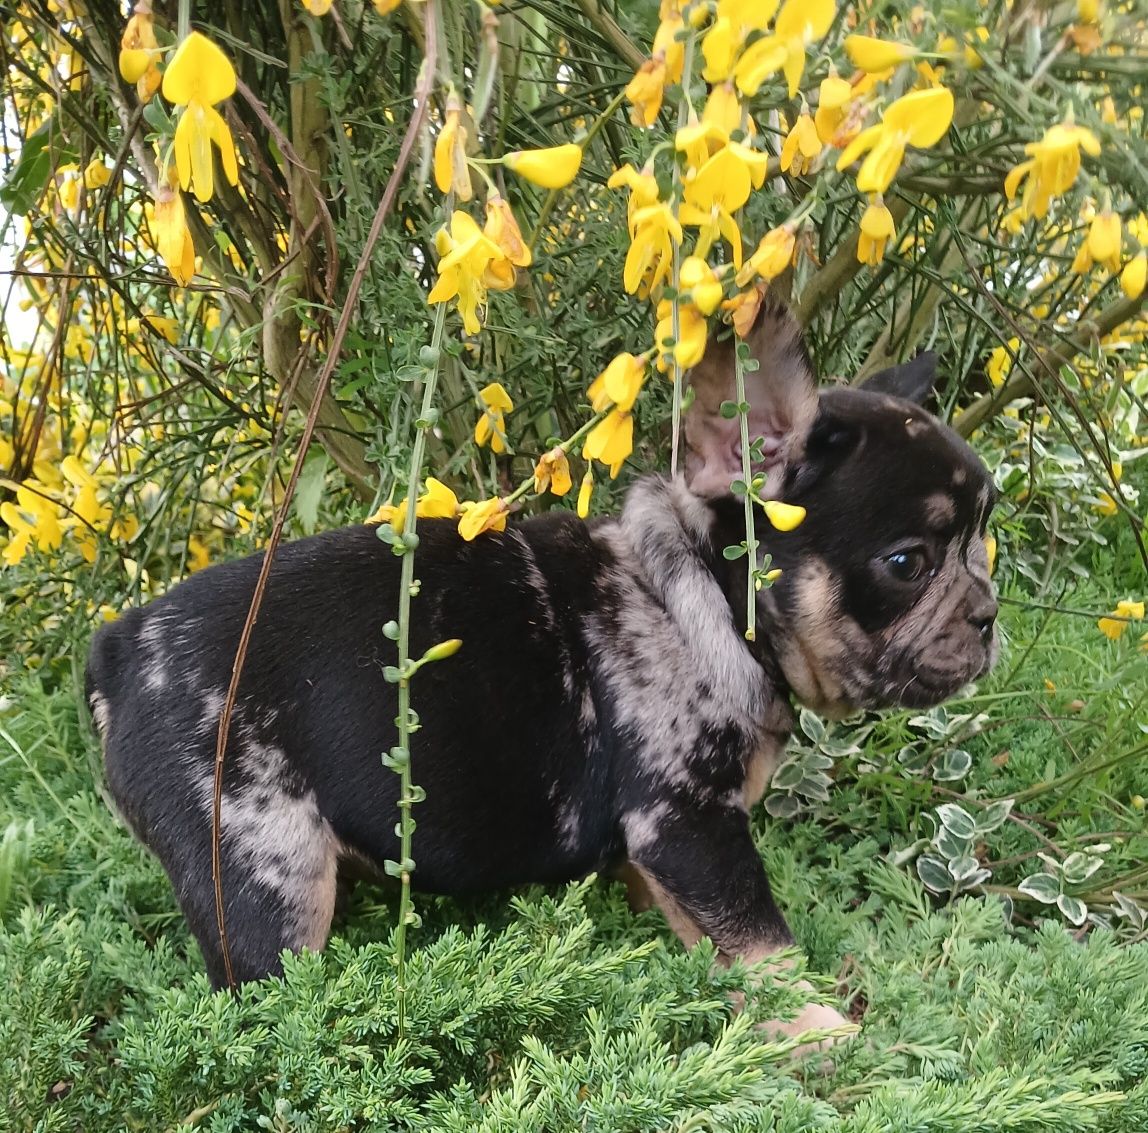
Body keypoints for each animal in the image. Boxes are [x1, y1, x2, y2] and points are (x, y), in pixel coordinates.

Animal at [84, 303, 996, 1046]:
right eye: (908, 563)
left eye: (983, 538)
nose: (989, 613)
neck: (694, 598)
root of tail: (119, 650)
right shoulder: (692, 824)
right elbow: (762, 943)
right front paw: (820, 1031)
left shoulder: (666, 843)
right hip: (263, 872)